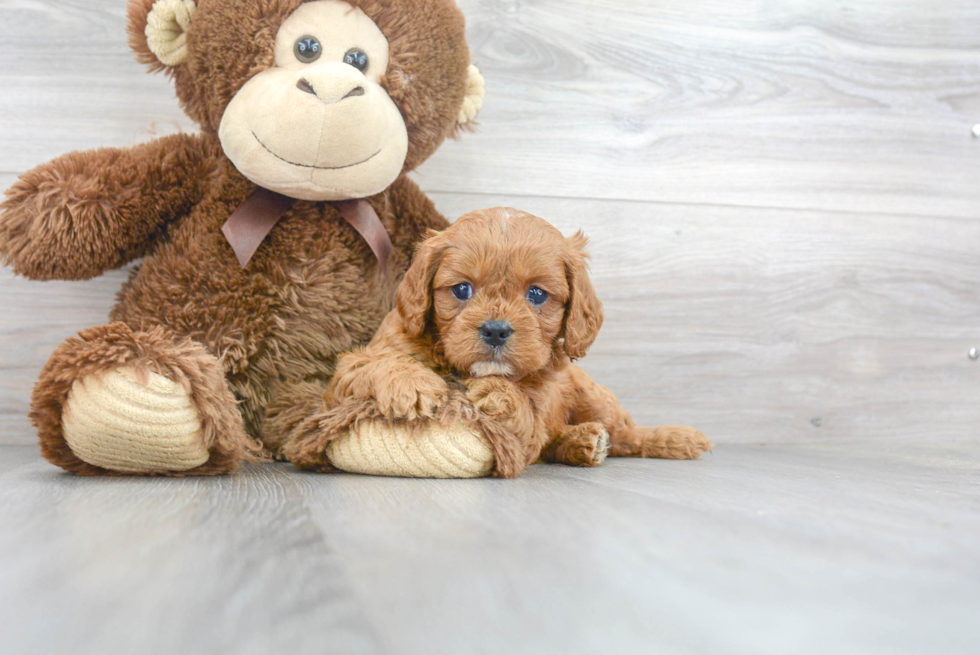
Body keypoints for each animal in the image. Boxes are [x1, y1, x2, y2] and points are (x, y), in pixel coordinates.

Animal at [288, 209, 708, 476]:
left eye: (536, 294)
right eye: (461, 289)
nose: (495, 330)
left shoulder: (536, 415)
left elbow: (527, 416)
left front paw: (496, 391)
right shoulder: (350, 372)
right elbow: (376, 364)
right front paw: (413, 384)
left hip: (595, 398)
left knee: (626, 433)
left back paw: (674, 438)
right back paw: (583, 443)